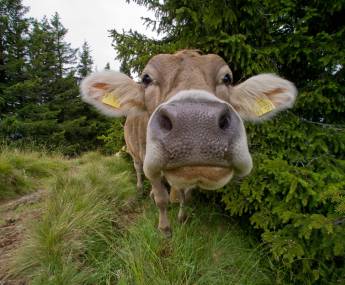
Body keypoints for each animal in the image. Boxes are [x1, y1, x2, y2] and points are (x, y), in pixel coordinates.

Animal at [80, 49, 296, 235]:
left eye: (227, 78)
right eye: (146, 78)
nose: (196, 121)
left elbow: (187, 197)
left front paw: (182, 219)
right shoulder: (148, 160)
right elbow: (161, 199)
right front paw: (165, 229)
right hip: (134, 152)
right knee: (139, 169)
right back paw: (142, 189)